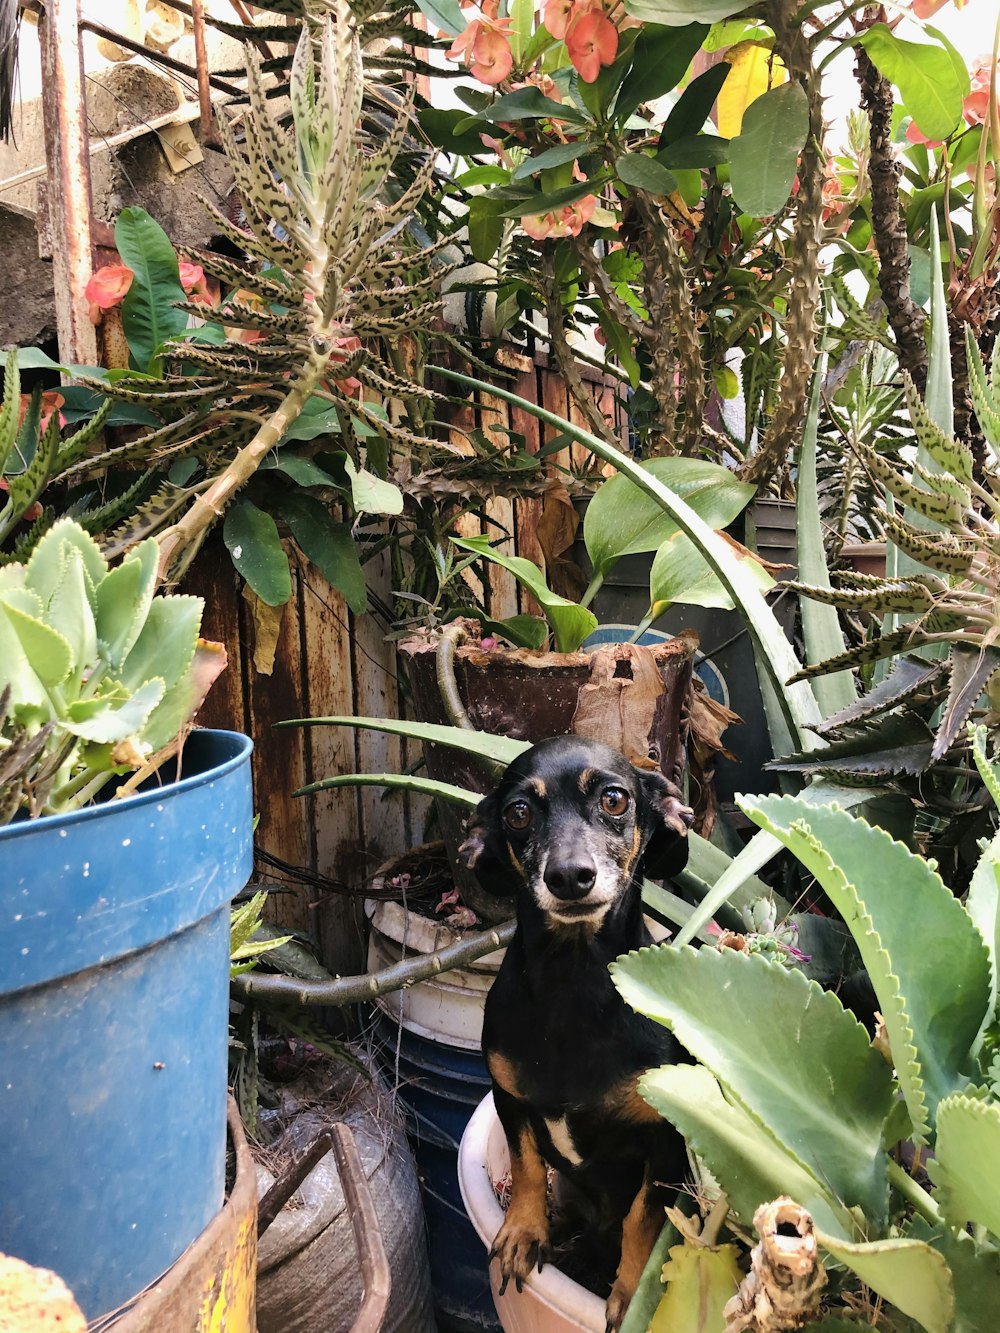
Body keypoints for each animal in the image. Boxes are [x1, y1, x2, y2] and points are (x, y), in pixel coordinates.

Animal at [461, 735, 698, 1327]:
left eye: (615, 799)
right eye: (518, 813)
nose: (569, 876)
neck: (572, 985)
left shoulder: (664, 1141)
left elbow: (643, 1218)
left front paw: (630, 1296)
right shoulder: (508, 1097)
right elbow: (525, 1167)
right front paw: (522, 1235)